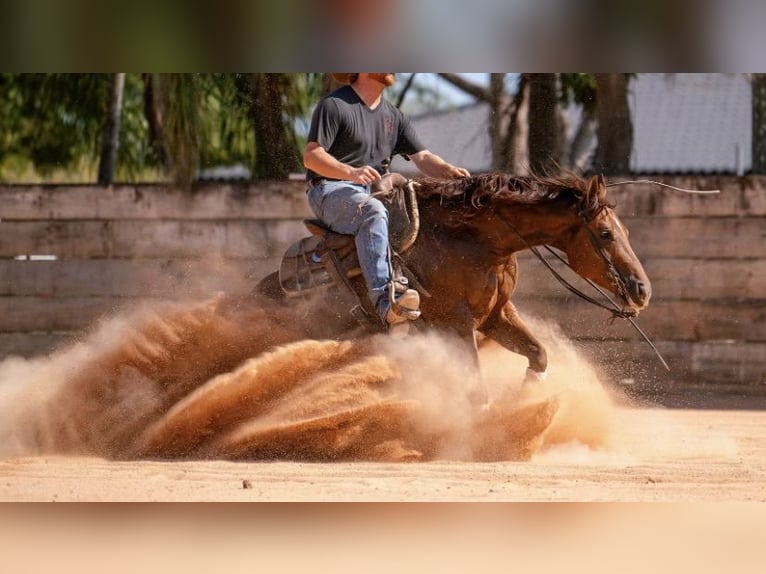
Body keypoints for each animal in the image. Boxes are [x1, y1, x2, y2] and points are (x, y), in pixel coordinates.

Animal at [255, 172, 651, 404]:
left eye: (627, 231)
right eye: (606, 233)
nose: (642, 290)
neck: (475, 242)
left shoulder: (494, 316)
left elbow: (538, 354)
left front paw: (525, 397)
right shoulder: (456, 323)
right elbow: (476, 389)